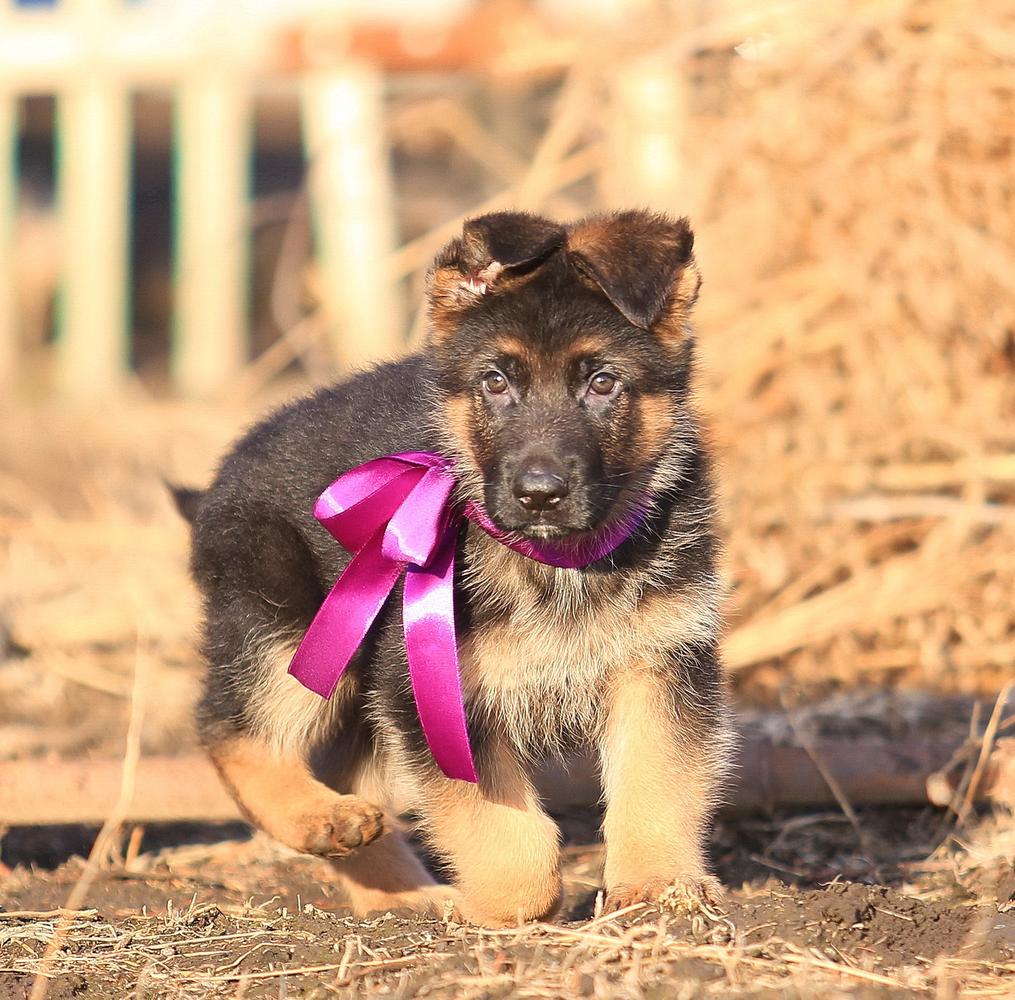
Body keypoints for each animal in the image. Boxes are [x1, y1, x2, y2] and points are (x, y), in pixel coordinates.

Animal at [184, 207, 730, 925]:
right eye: (495, 382)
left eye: (602, 382)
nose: (539, 493)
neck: (553, 562)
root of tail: (229, 468)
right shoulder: (432, 690)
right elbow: (500, 831)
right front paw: (510, 905)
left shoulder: (660, 662)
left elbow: (656, 778)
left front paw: (657, 886)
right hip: (286, 627)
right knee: (229, 730)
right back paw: (320, 820)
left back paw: (397, 893)